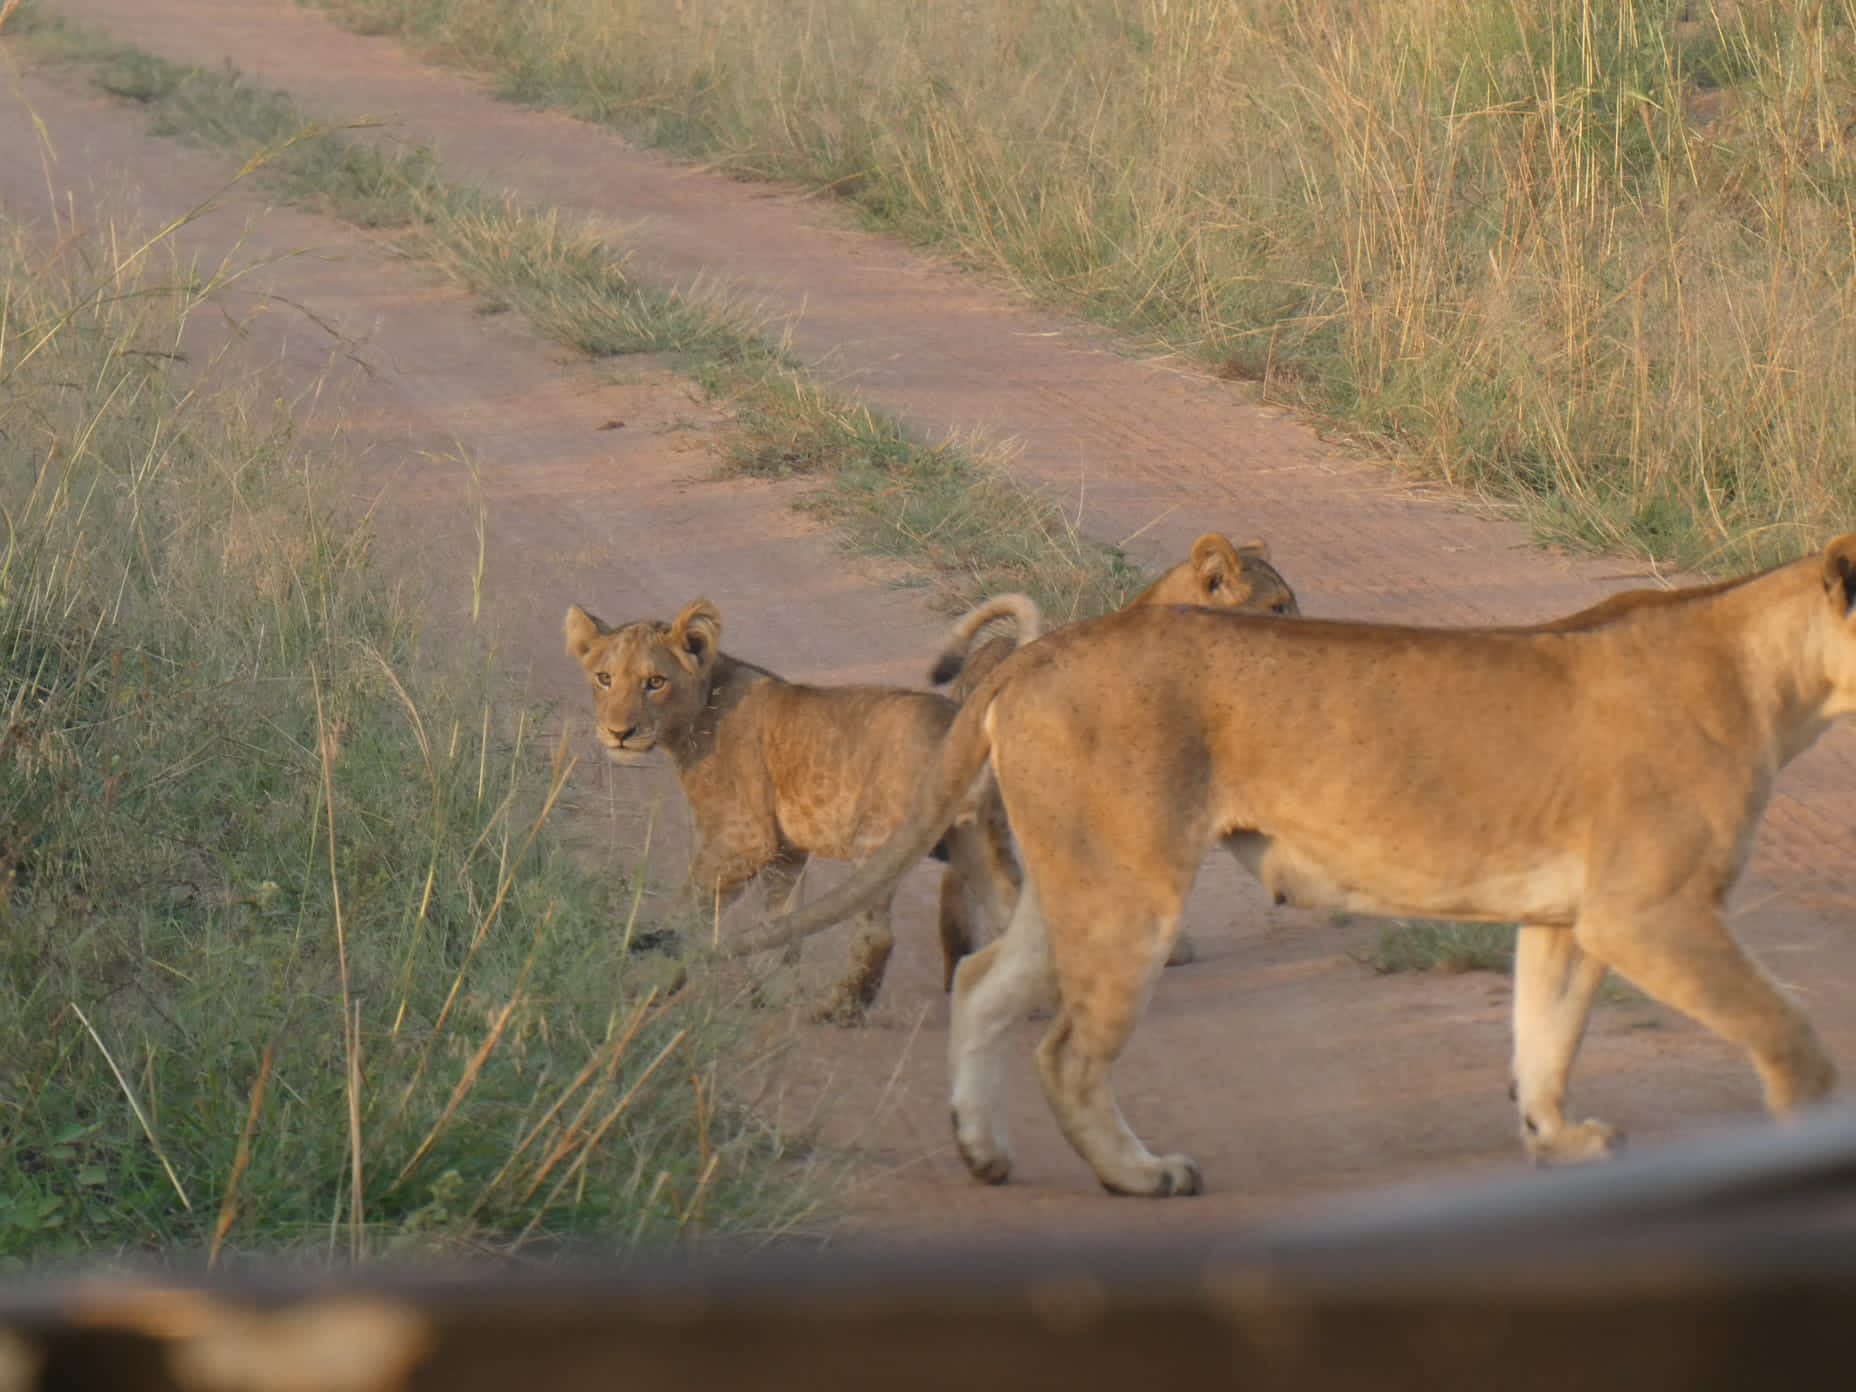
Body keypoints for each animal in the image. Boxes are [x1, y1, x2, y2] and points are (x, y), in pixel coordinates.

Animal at [563, 598, 1016, 1025]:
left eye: (655, 682)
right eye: (604, 678)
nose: (619, 733)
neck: (700, 708)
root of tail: (960, 720)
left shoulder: (745, 837)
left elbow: (689, 909)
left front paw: (651, 979)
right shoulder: (786, 851)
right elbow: (781, 919)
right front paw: (771, 994)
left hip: (880, 841)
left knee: (878, 935)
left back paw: (836, 1011)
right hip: (976, 839)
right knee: (1010, 917)